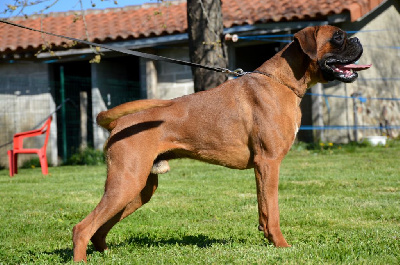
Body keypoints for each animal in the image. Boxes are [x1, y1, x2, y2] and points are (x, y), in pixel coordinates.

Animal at [72, 25, 372, 260]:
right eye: (338, 37)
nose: (358, 39)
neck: (282, 81)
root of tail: (119, 124)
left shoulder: (261, 169)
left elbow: (264, 209)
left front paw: (267, 238)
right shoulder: (269, 163)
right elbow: (273, 211)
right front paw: (281, 245)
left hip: (138, 189)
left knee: (99, 228)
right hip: (126, 182)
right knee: (82, 228)